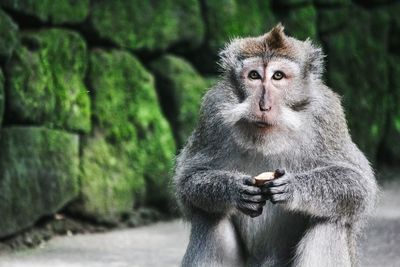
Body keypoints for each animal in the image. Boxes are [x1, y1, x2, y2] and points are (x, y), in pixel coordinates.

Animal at [173, 24, 378, 266]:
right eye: (254, 75)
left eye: (278, 76)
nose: (263, 105)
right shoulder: (212, 110)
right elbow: (188, 182)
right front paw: (233, 189)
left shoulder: (327, 114)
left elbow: (358, 184)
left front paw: (294, 187)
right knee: (211, 216)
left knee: (328, 222)